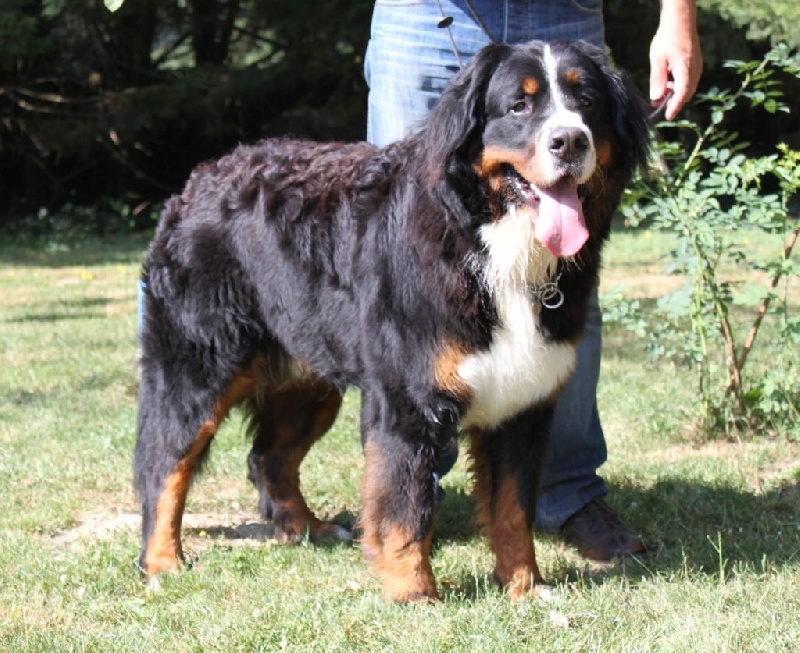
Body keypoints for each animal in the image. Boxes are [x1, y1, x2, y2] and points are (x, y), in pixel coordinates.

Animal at [136, 39, 648, 600]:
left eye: (587, 103)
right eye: (520, 105)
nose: (569, 140)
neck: (490, 245)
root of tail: (200, 178)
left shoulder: (522, 399)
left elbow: (513, 509)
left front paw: (525, 587)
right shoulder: (408, 397)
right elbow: (405, 505)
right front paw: (414, 592)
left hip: (309, 380)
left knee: (269, 458)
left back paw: (311, 528)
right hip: (197, 365)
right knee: (165, 462)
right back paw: (162, 560)